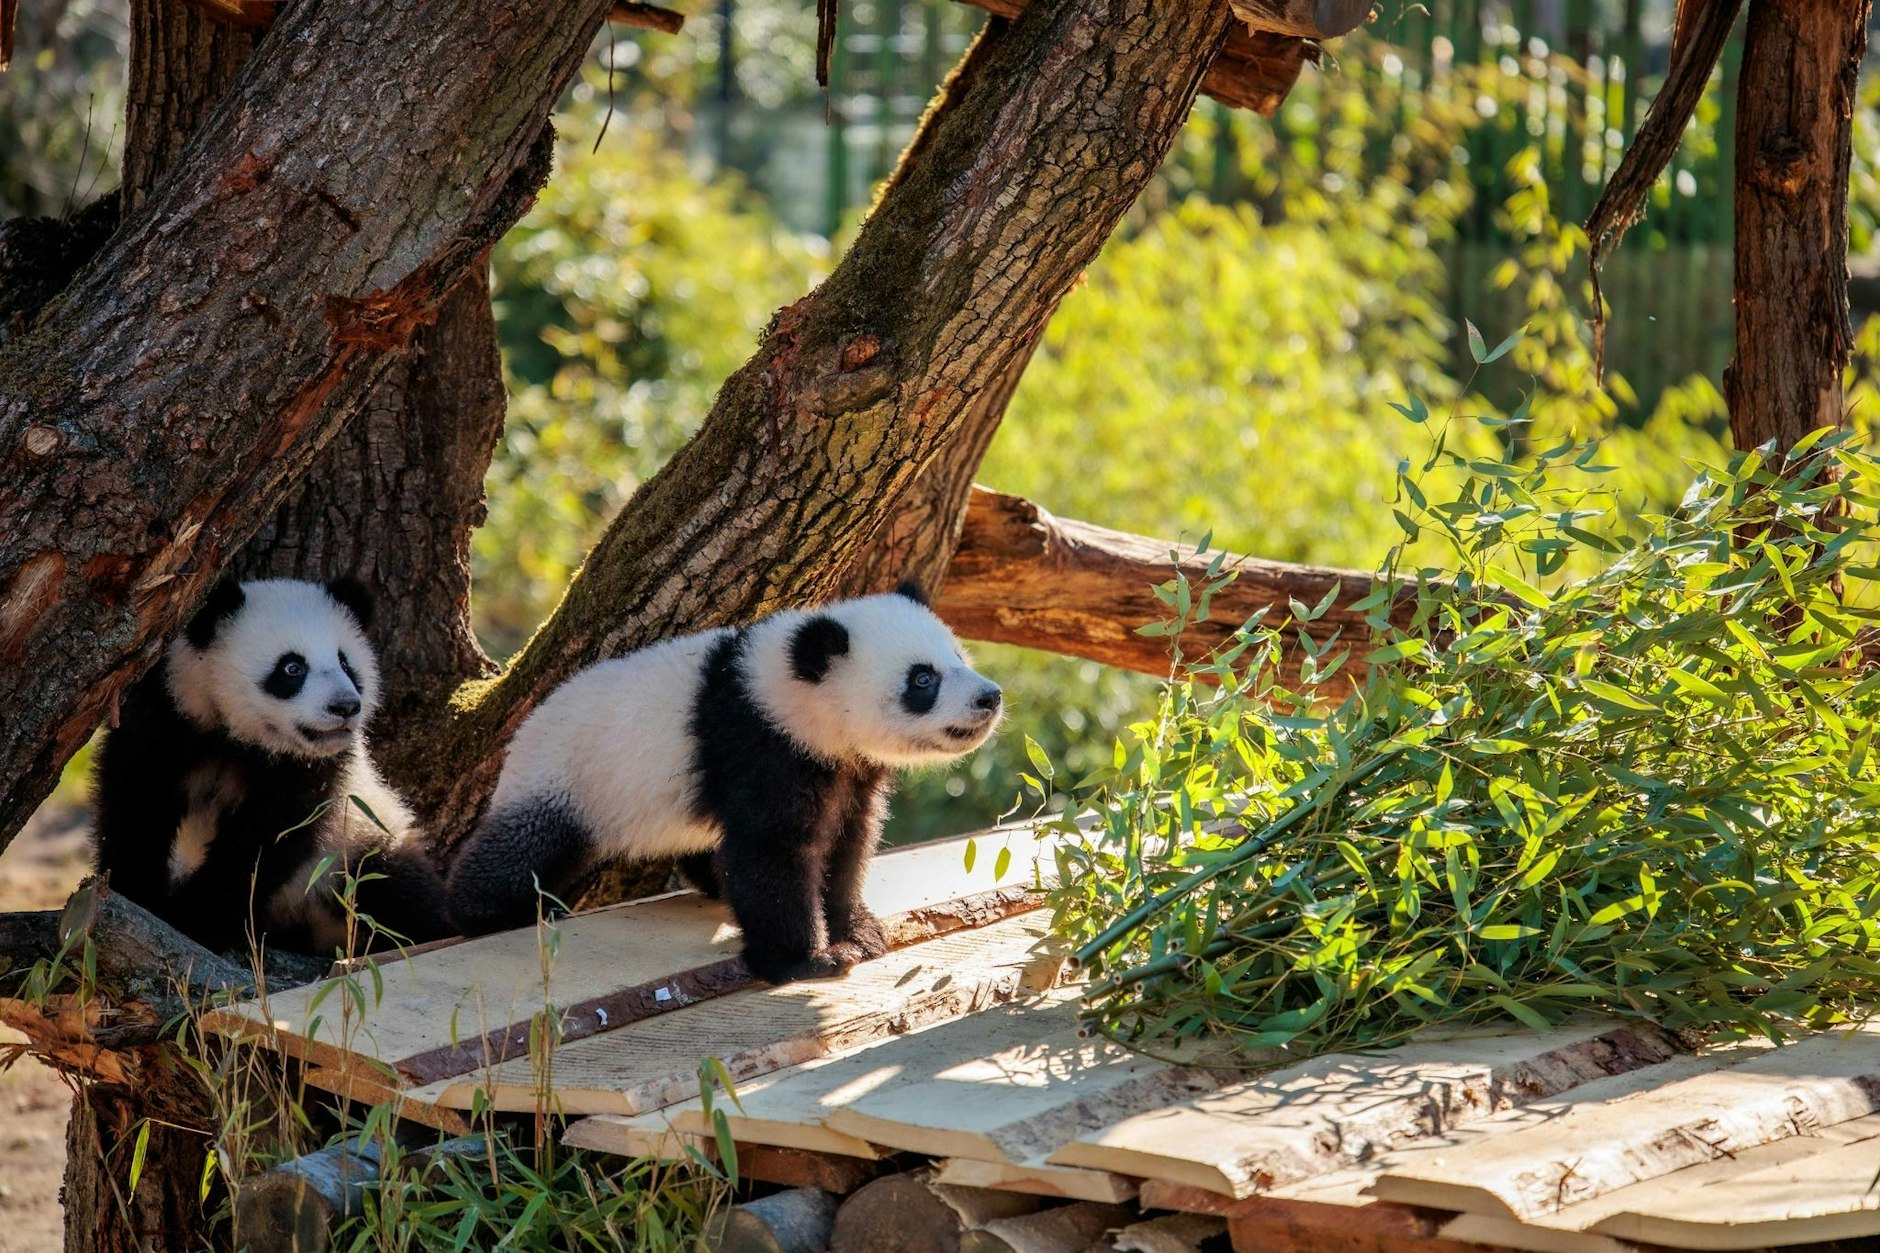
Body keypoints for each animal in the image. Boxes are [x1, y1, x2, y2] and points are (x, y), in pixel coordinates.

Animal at [92, 576, 453, 956]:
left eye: (345, 664)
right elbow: (138, 799)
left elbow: (268, 840)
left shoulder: (309, 771)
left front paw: (196, 918)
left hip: (357, 844)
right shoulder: (169, 714)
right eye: (292, 667)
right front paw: (139, 891)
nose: (344, 706)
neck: (236, 734)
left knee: (395, 890)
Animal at [445, 583, 1004, 984]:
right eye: (923, 679)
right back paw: (484, 909)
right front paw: (804, 959)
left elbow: (848, 842)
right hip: (567, 778)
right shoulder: (759, 743)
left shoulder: (846, 767)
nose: (989, 696)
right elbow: (772, 851)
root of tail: (520, 735)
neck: (792, 693)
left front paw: (860, 931)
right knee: (523, 849)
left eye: (959, 656)